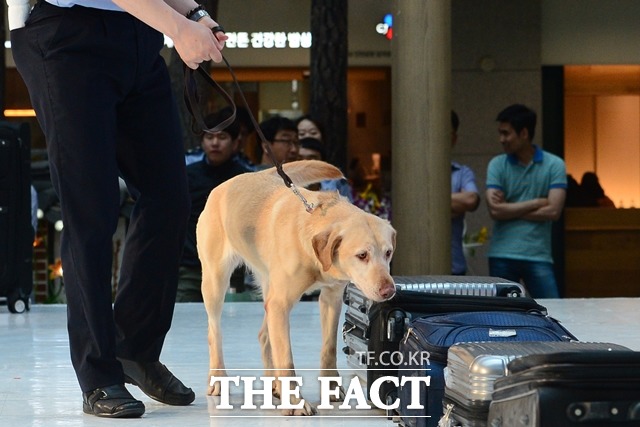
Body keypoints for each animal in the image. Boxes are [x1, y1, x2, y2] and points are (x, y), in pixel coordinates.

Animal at [199, 160, 396, 414]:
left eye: (388, 252)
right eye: (362, 255)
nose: (388, 290)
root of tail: (238, 178)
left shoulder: (330, 298)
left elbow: (328, 348)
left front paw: (331, 389)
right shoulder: (281, 304)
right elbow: (286, 358)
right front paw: (294, 402)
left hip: (269, 290)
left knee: (264, 336)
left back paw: (274, 386)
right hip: (216, 281)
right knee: (214, 332)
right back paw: (218, 378)